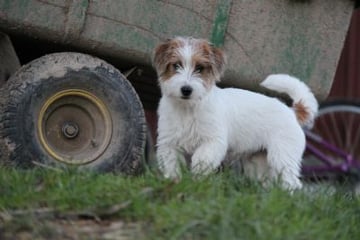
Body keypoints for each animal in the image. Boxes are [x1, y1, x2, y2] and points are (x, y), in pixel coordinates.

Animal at [152, 36, 318, 189]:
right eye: (176, 65)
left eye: (199, 68)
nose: (186, 89)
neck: (187, 108)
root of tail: (292, 112)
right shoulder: (168, 143)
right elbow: (171, 165)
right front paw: (173, 182)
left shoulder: (213, 141)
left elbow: (201, 159)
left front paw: (197, 180)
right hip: (258, 162)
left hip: (282, 156)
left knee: (291, 182)